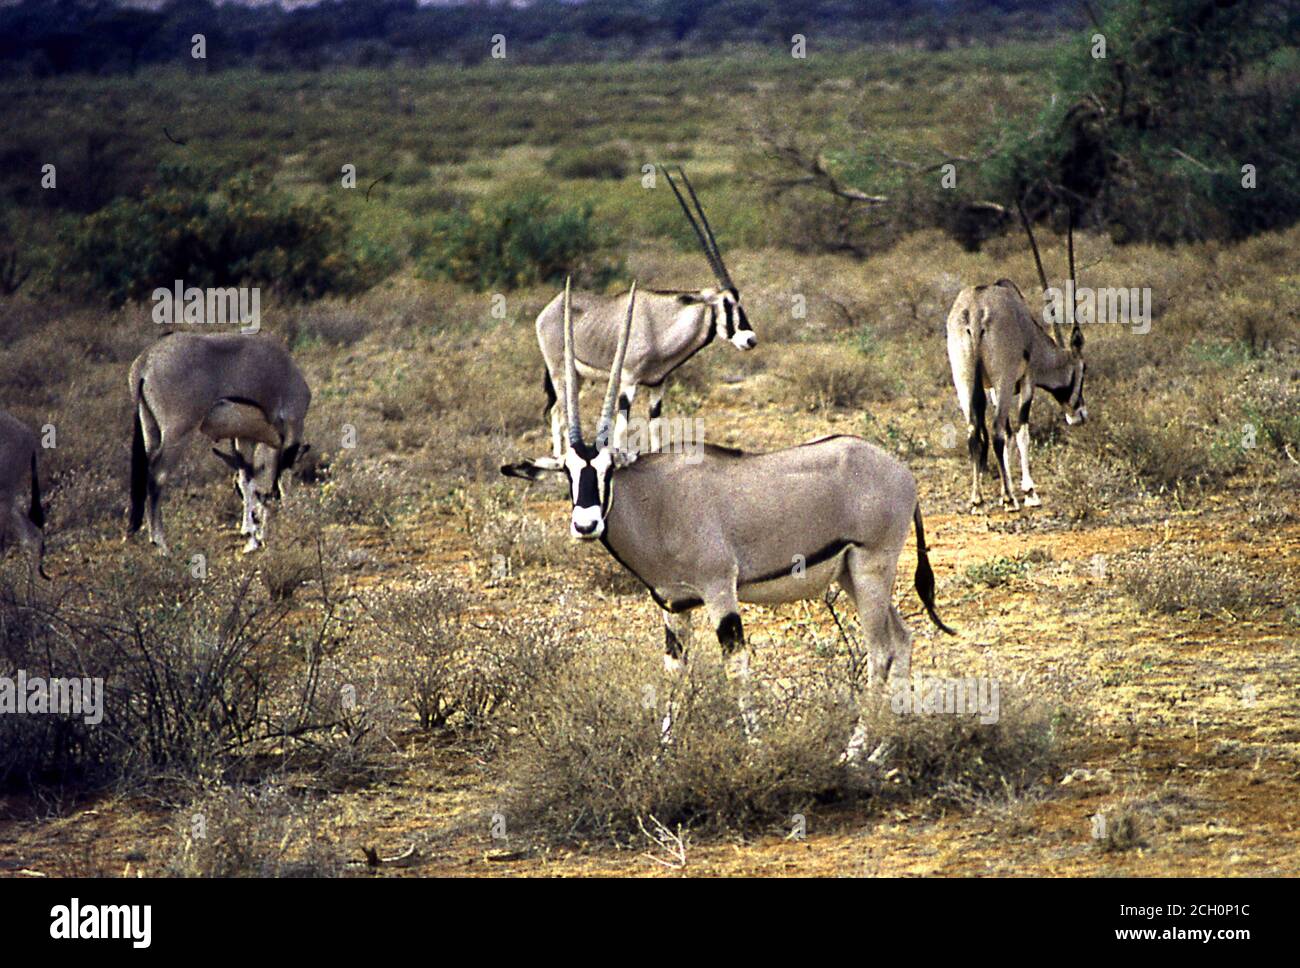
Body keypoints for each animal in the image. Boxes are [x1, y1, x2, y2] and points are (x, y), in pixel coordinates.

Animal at [127, 330, 312, 550]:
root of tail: (146, 360)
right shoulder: (293, 423)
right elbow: (281, 479)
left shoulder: (245, 437)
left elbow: (247, 480)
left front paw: (251, 534)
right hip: (177, 432)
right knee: (158, 476)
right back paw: (161, 545)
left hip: (150, 429)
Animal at [501, 278, 951, 738]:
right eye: (567, 472)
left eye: (609, 468)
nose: (586, 523)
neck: (654, 500)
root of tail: (900, 471)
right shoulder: (674, 606)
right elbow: (674, 674)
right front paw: (664, 746)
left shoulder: (720, 590)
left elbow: (736, 668)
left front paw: (755, 743)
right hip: (851, 575)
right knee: (902, 640)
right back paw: (887, 742)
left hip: (872, 567)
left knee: (879, 652)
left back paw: (857, 747)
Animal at [530, 167, 754, 467]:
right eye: (727, 304)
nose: (750, 339)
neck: (659, 325)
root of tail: (549, 309)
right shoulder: (627, 383)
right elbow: (621, 431)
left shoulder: (657, 385)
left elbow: (657, 431)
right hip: (560, 374)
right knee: (560, 414)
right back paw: (559, 458)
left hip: (577, 377)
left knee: (556, 411)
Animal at [946, 205, 1086, 514]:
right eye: (1082, 370)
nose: (1079, 414)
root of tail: (975, 312)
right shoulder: (1025, 381)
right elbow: (1020, 432)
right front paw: (1028, 492)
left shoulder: (992, 390)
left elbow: (1009, 434)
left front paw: (1005, 490)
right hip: (1003, 377)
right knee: (997, 430)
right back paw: (1011, 500)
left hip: (964, 381)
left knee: (974, 432)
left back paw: (977, 500)